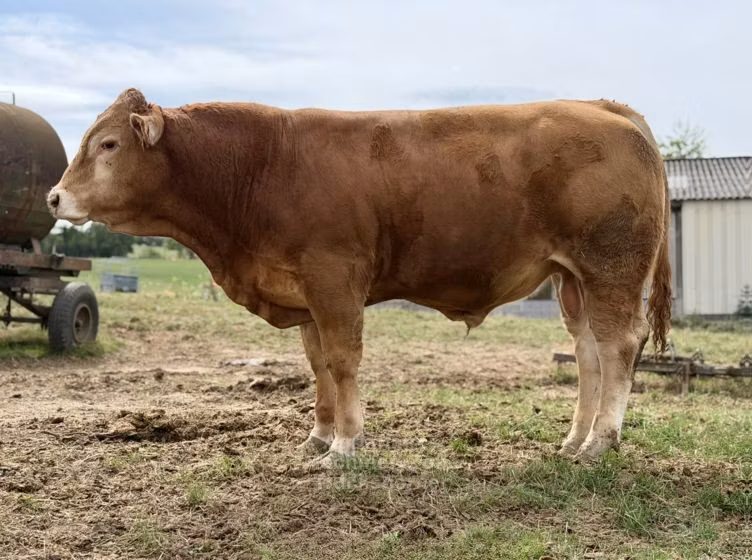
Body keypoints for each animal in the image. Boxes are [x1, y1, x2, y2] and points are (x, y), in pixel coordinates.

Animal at [48, 89, 671, 464]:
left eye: (108, 143)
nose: (54, 197)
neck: (263, 167)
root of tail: (605, 107)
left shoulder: (334, 279)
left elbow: (344, 360)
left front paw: (346, 446)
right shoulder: (303, 290)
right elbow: (319, 365)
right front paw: (318, 436)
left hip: (611, 267)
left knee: (619, 345)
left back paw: (601, 442)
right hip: (572, 280)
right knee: (588, 352)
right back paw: (573, 438)